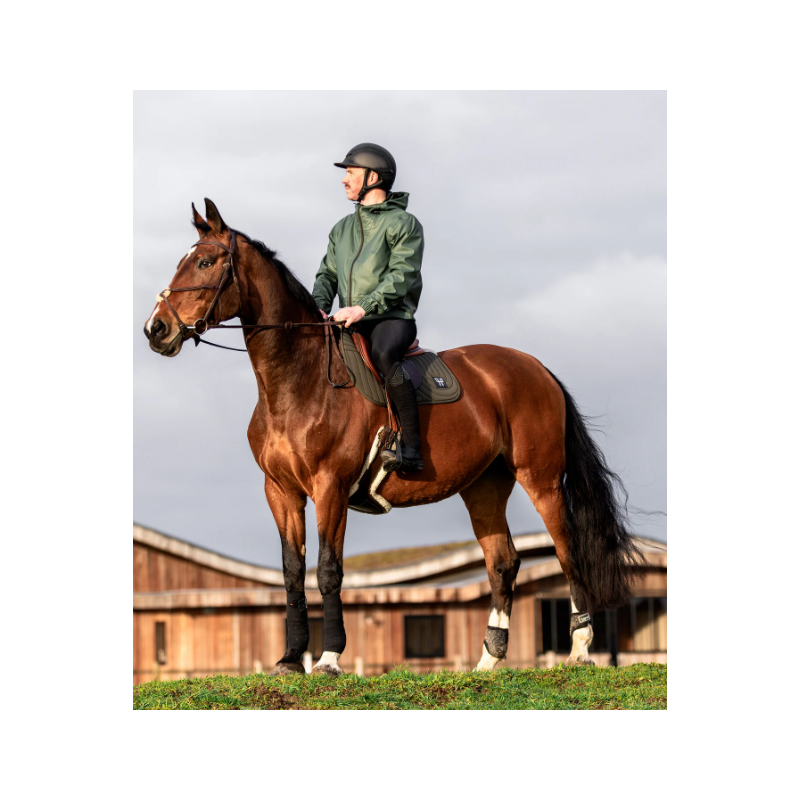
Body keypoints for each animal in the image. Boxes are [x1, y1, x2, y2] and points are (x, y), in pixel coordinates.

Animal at [143, 198, 644, 676]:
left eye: (205, 262)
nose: (155, 329)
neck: (299, 379)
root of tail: (536, 367)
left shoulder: (330, 487)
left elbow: (328, 570)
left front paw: (328, 660)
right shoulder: (281, 492)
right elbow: (292, 573)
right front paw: (289, 659)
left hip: (541, 479)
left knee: (566, 551)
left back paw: (579, 650)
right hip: (483, 488)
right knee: (502, 563)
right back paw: (488, 662)